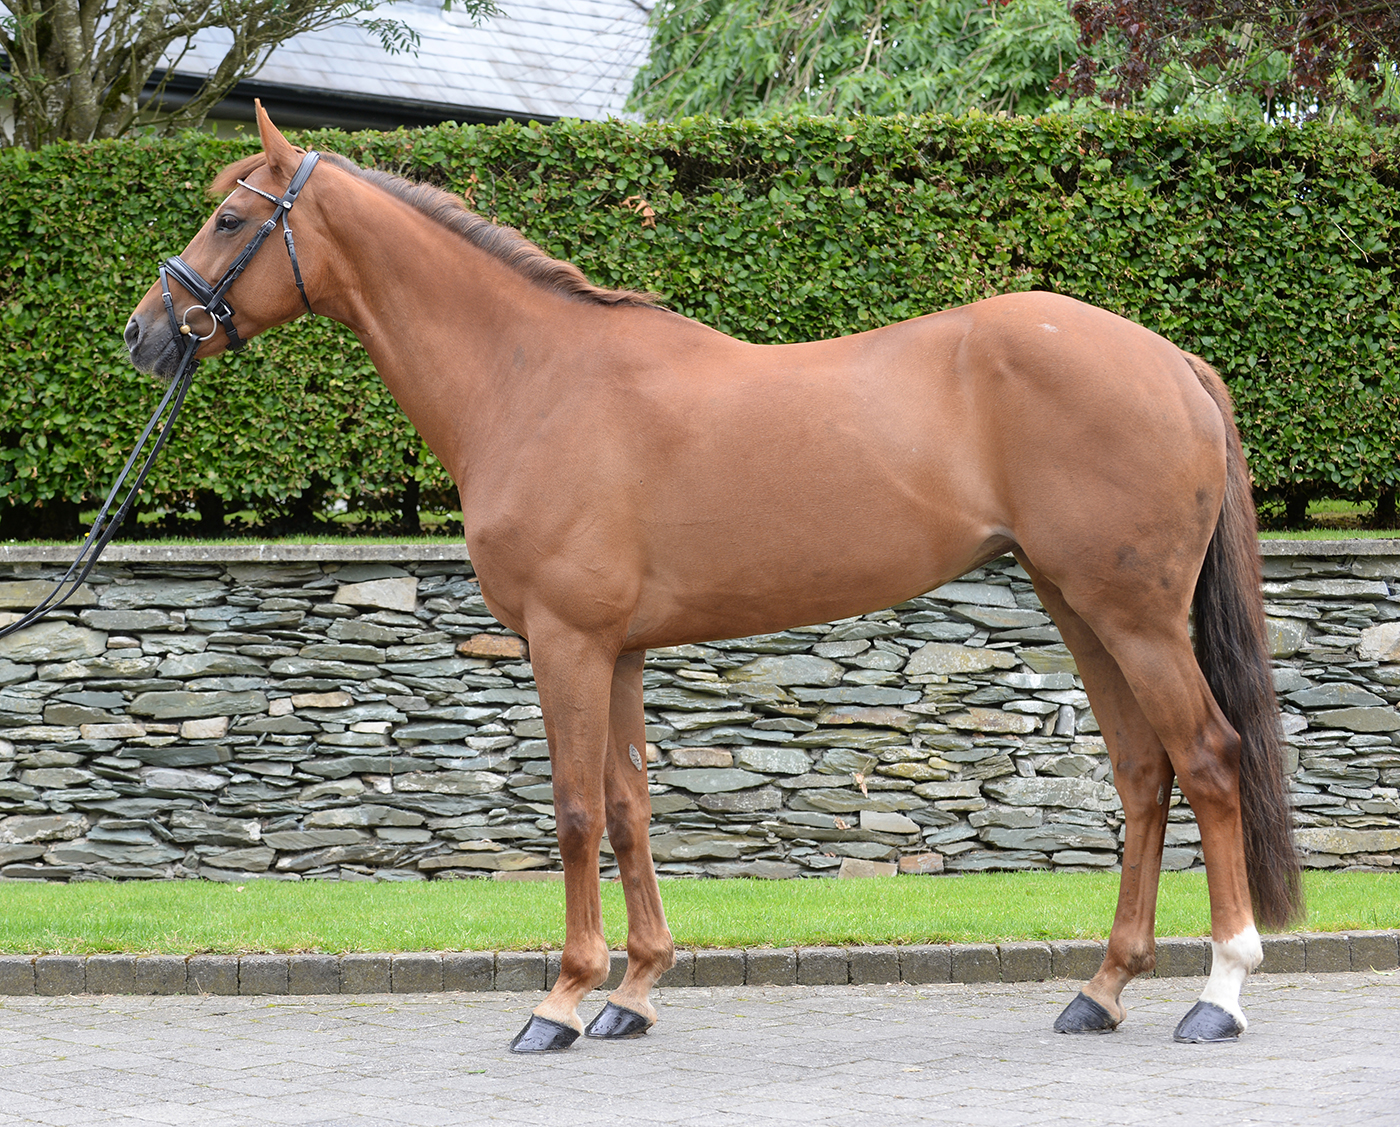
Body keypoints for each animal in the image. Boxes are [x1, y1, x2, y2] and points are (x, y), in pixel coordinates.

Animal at [125, 103, 1302, 1051]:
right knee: (1142, 773)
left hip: (1133, 615)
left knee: (1206, 757)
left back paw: (1219, 993)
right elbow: (630, 805)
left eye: (230, 220)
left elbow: (572, 810)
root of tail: (1169, 360)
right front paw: (632, 994)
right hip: (1080, 606)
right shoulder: (619, 650)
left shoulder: (565, 640)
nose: (145, 333)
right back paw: (1100, 990)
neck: (534, 380)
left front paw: (559, 1002)